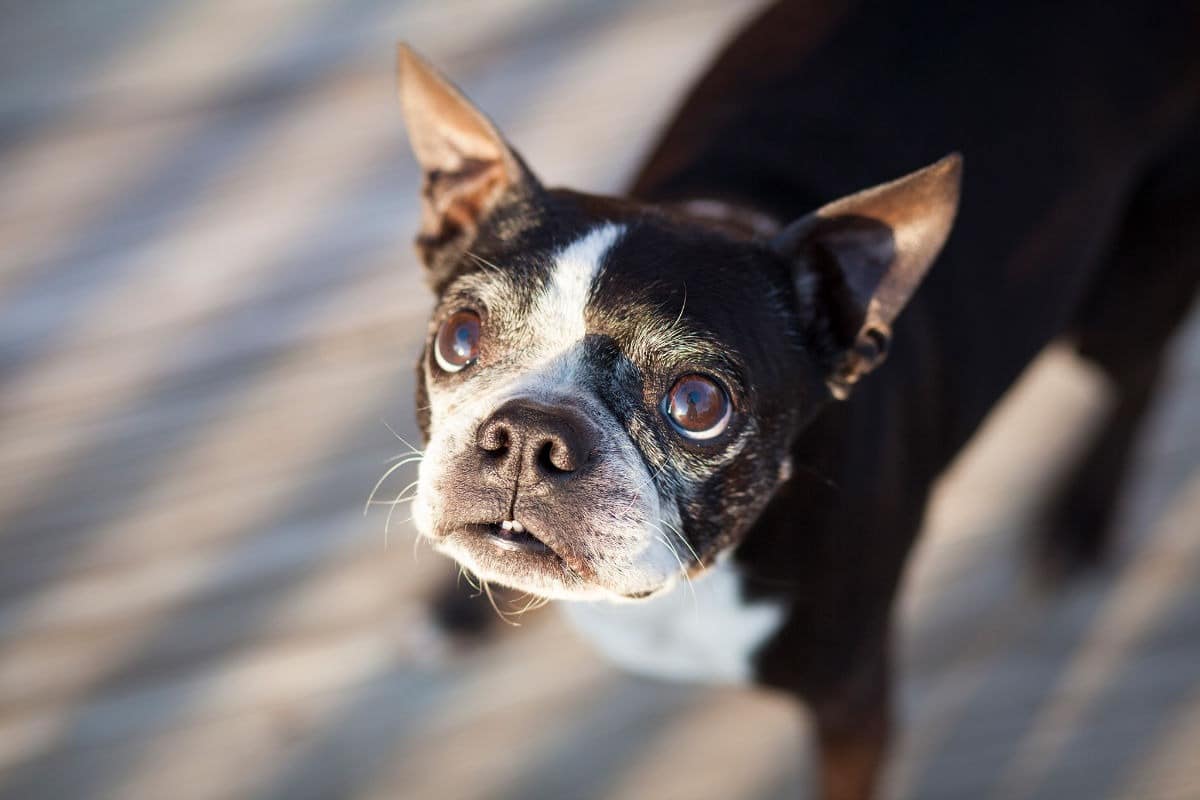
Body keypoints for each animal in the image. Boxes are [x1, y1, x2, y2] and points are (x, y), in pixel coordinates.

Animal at [393, 3, 1200, 796]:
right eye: (459, 339)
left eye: (698, 404)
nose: (532, 434)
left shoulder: (852, 706)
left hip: (1115, 302)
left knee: (1142, 375)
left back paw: (1081, 518)